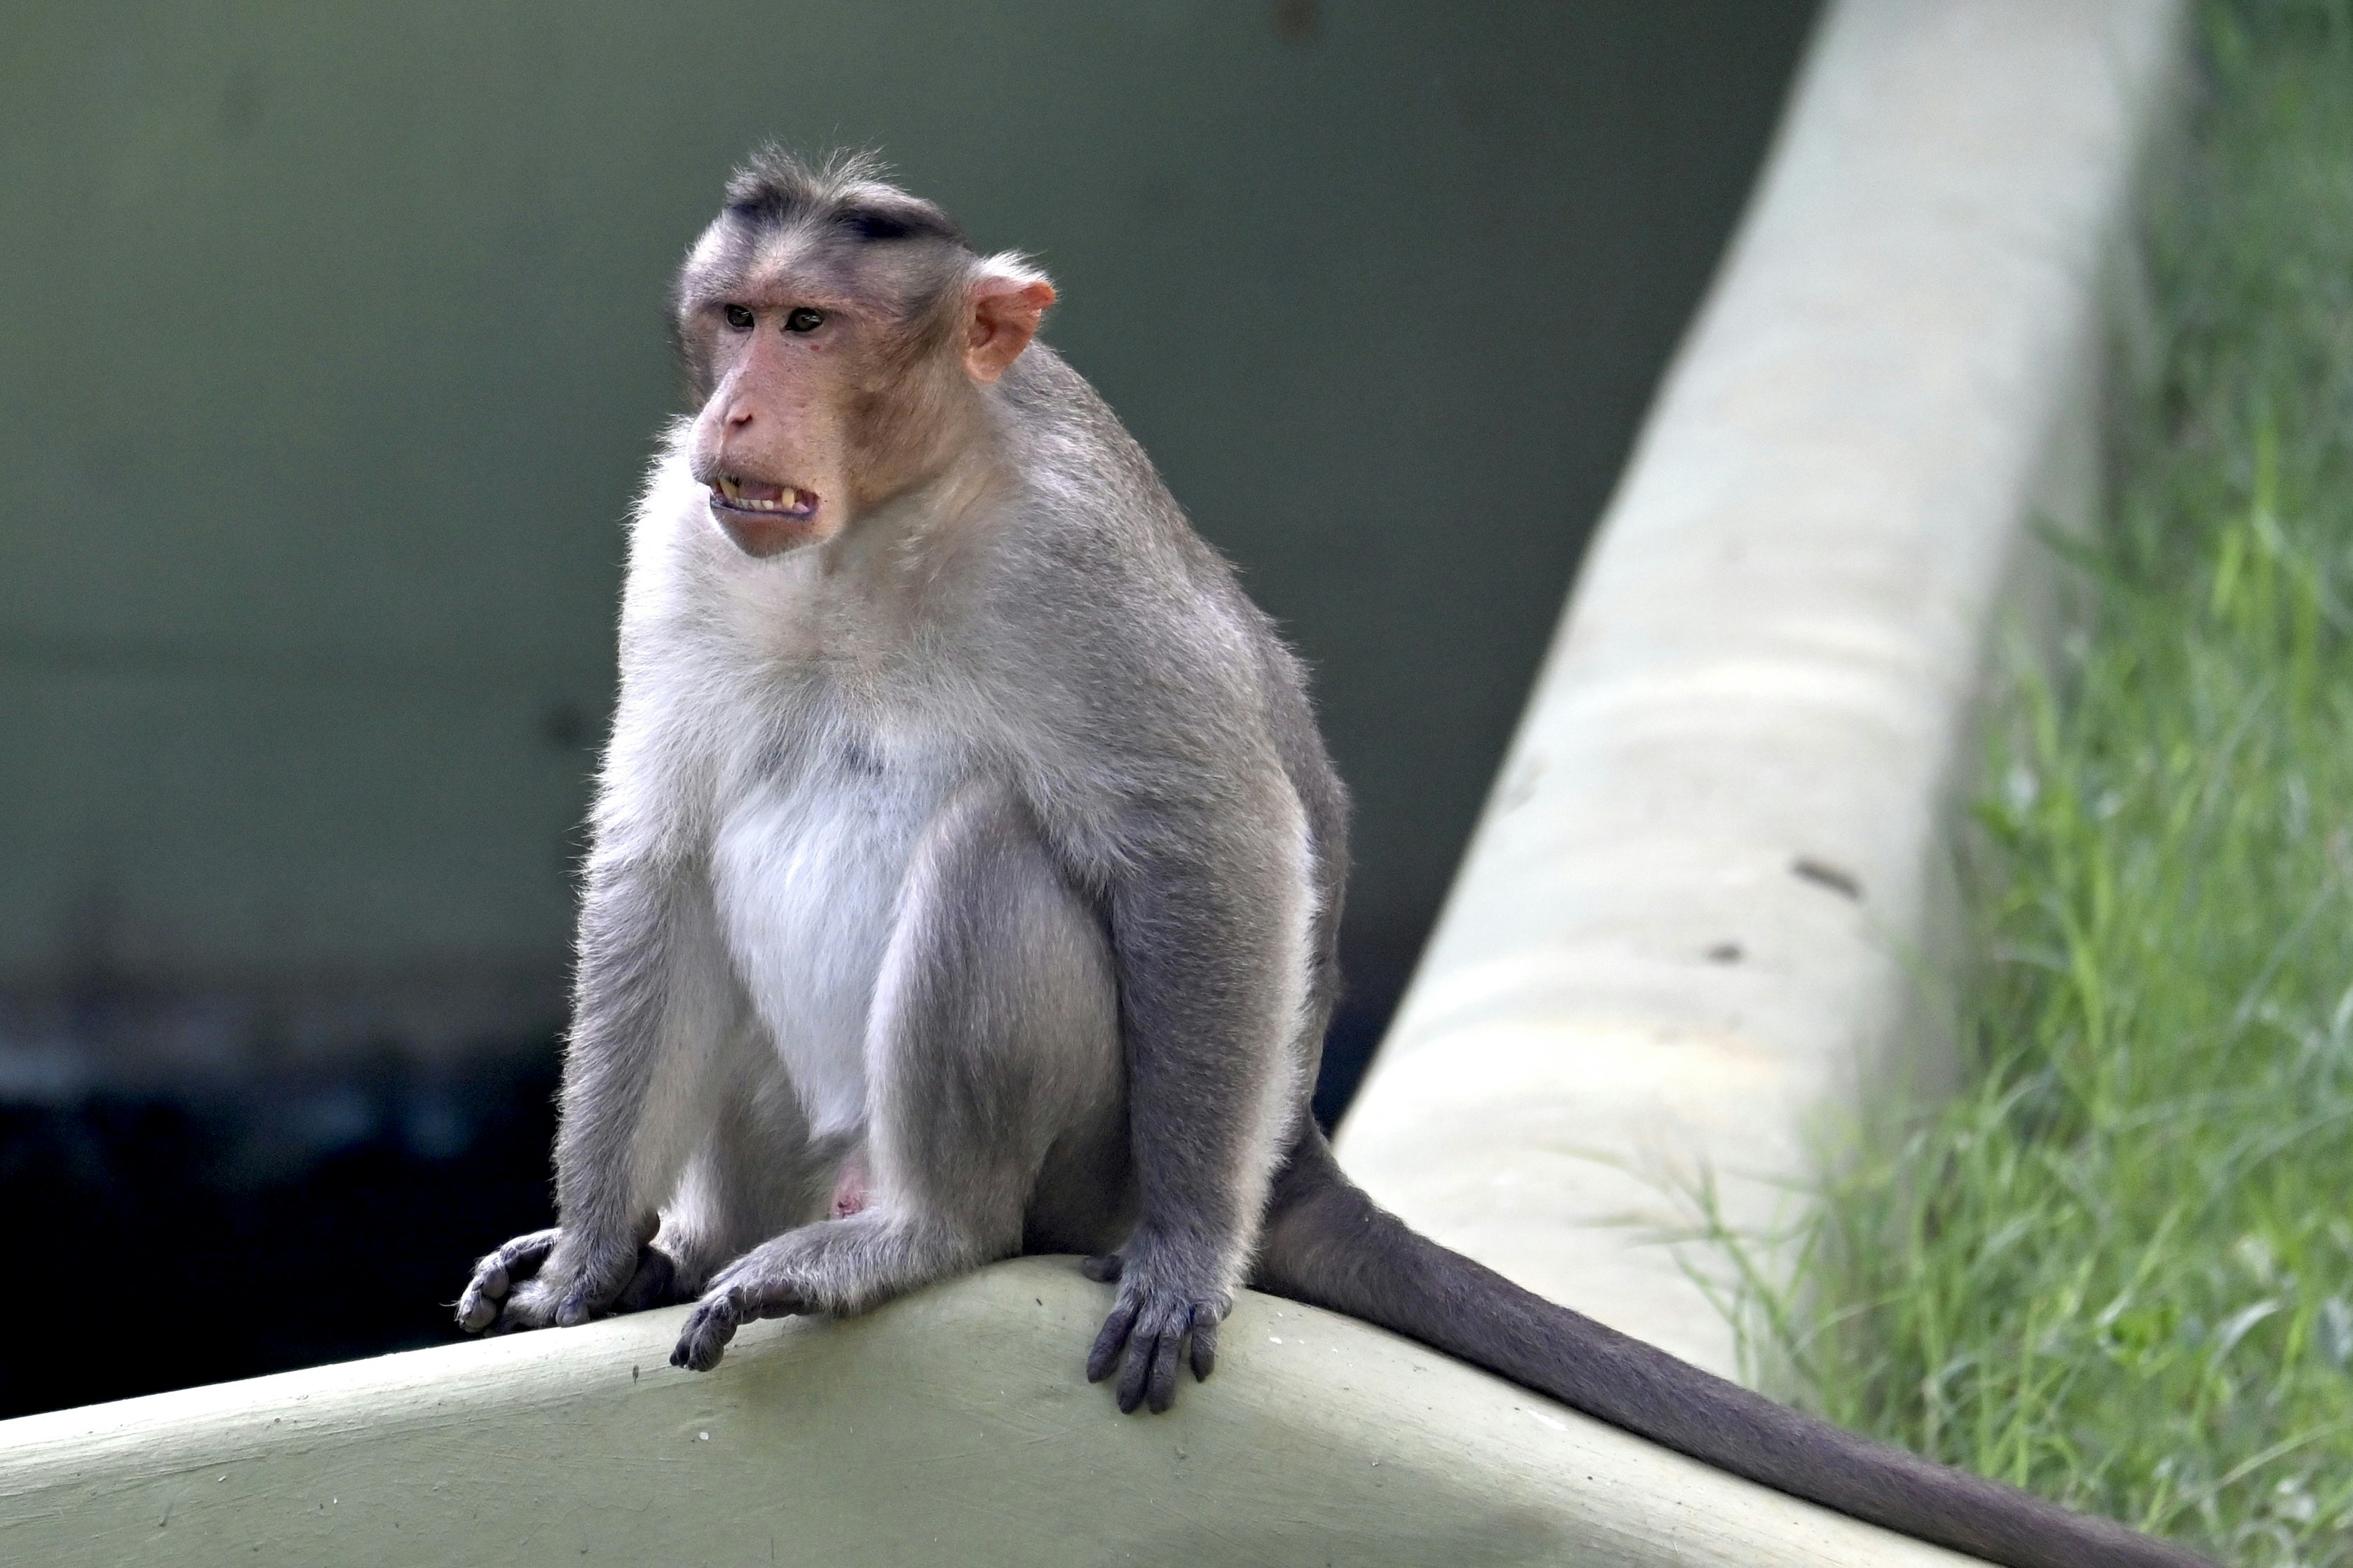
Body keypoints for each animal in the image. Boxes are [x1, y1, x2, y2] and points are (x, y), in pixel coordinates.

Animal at [455, 150, 2211, 1568]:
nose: (738, 407)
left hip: (1091, 1149)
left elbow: (1216, 836)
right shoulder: (678, 541)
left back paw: (916, 1236)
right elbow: (657, 849)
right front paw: (590, 1254)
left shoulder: (1074, 560)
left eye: (812, 327)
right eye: (736, 316)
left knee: (998, 852)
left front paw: (1180, 1253)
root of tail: (1296, 1146)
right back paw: (686, 1243)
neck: (870, 538)